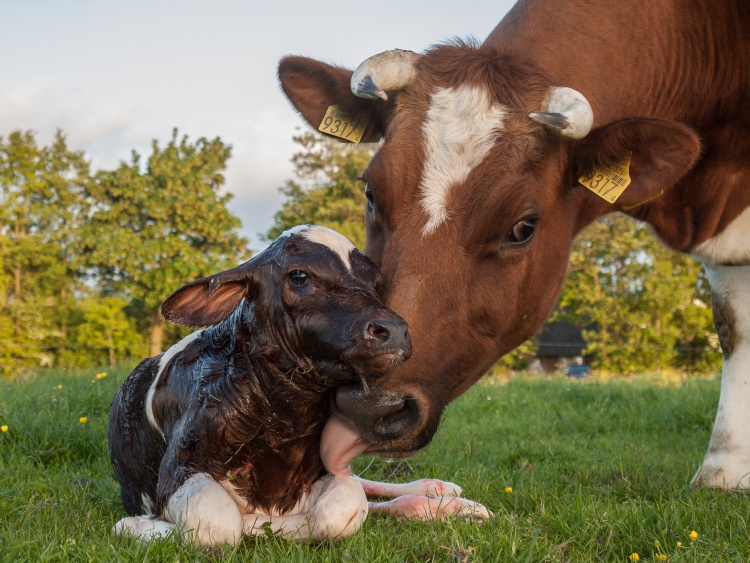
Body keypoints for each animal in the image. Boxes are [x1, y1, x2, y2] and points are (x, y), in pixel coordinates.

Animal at [108, 225, 490, 548]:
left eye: (376, 282)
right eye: (299, 275)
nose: (394, 330)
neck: (284, 417)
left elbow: (344, 507)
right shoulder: (180, 464)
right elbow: (219, 524)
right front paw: (138, 525)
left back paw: (442, 495)